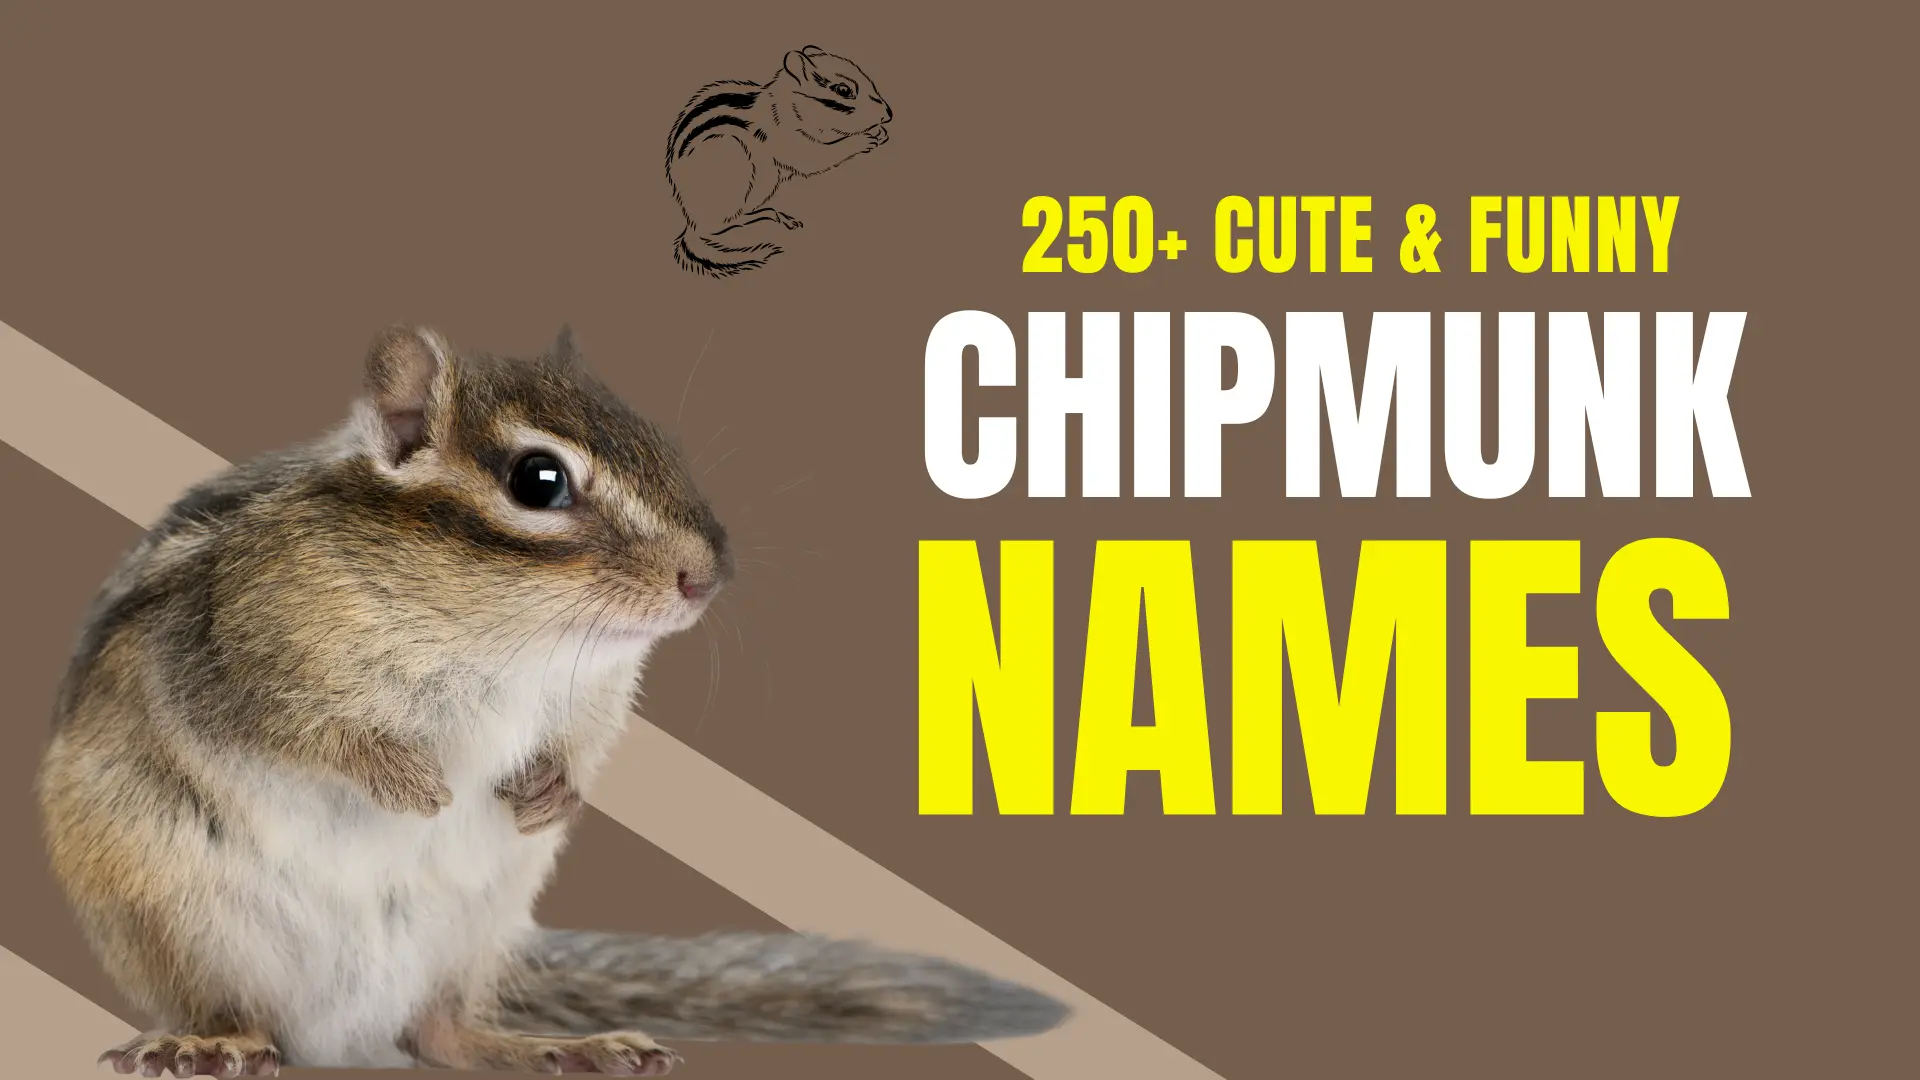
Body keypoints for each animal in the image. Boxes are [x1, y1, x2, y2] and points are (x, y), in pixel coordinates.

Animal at [36, 325, 1066, 1076]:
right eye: (539, 479)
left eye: (661, 448)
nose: (707, 577)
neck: (507, 636)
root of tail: (337, 1035)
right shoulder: (230, 653)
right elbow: (299, 730)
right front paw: (409, 782)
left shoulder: (591, 696)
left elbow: (578, 746)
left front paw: (550, 793)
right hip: (180, 918)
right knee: (244, 1014)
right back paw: (208, 1044)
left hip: (470, 933)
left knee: (439, 1033)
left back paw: (559, 1047)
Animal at [667, 47, 892, 277]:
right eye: (844, 90)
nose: (888, 114)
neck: (788, 106)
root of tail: (691, 222)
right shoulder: (790, 141)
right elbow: (816, 156)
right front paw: (864, 139)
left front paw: (880, 132)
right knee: (720, 227)